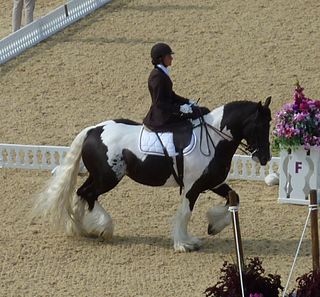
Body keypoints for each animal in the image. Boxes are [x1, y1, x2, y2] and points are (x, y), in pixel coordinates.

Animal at [32, 97, 272, 252]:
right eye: (260, 126)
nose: (265, 158)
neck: (213, 139)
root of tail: (93, 130)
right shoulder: (192, 188)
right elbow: (185, 213)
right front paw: (184, 244)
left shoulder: (213, 182)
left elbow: (234, 198)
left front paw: (213, 226)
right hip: (108, 178)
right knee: (88, 195)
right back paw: (103, 229)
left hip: (99, 176)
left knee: (82, 193)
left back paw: (81, 228)